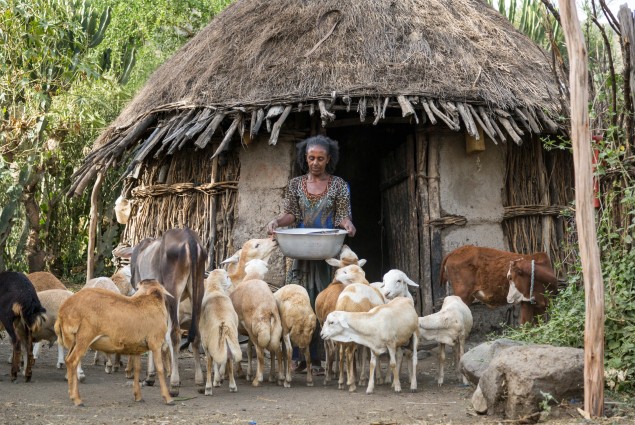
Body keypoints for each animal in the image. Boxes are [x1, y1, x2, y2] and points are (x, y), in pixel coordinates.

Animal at [117, 227, 206, 396]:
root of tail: (190, 238)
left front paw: (150, 376)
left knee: (175, 334)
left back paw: (174, 384)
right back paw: (200, 382)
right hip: (198, 290)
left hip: (173, 291)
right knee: (196, 334)